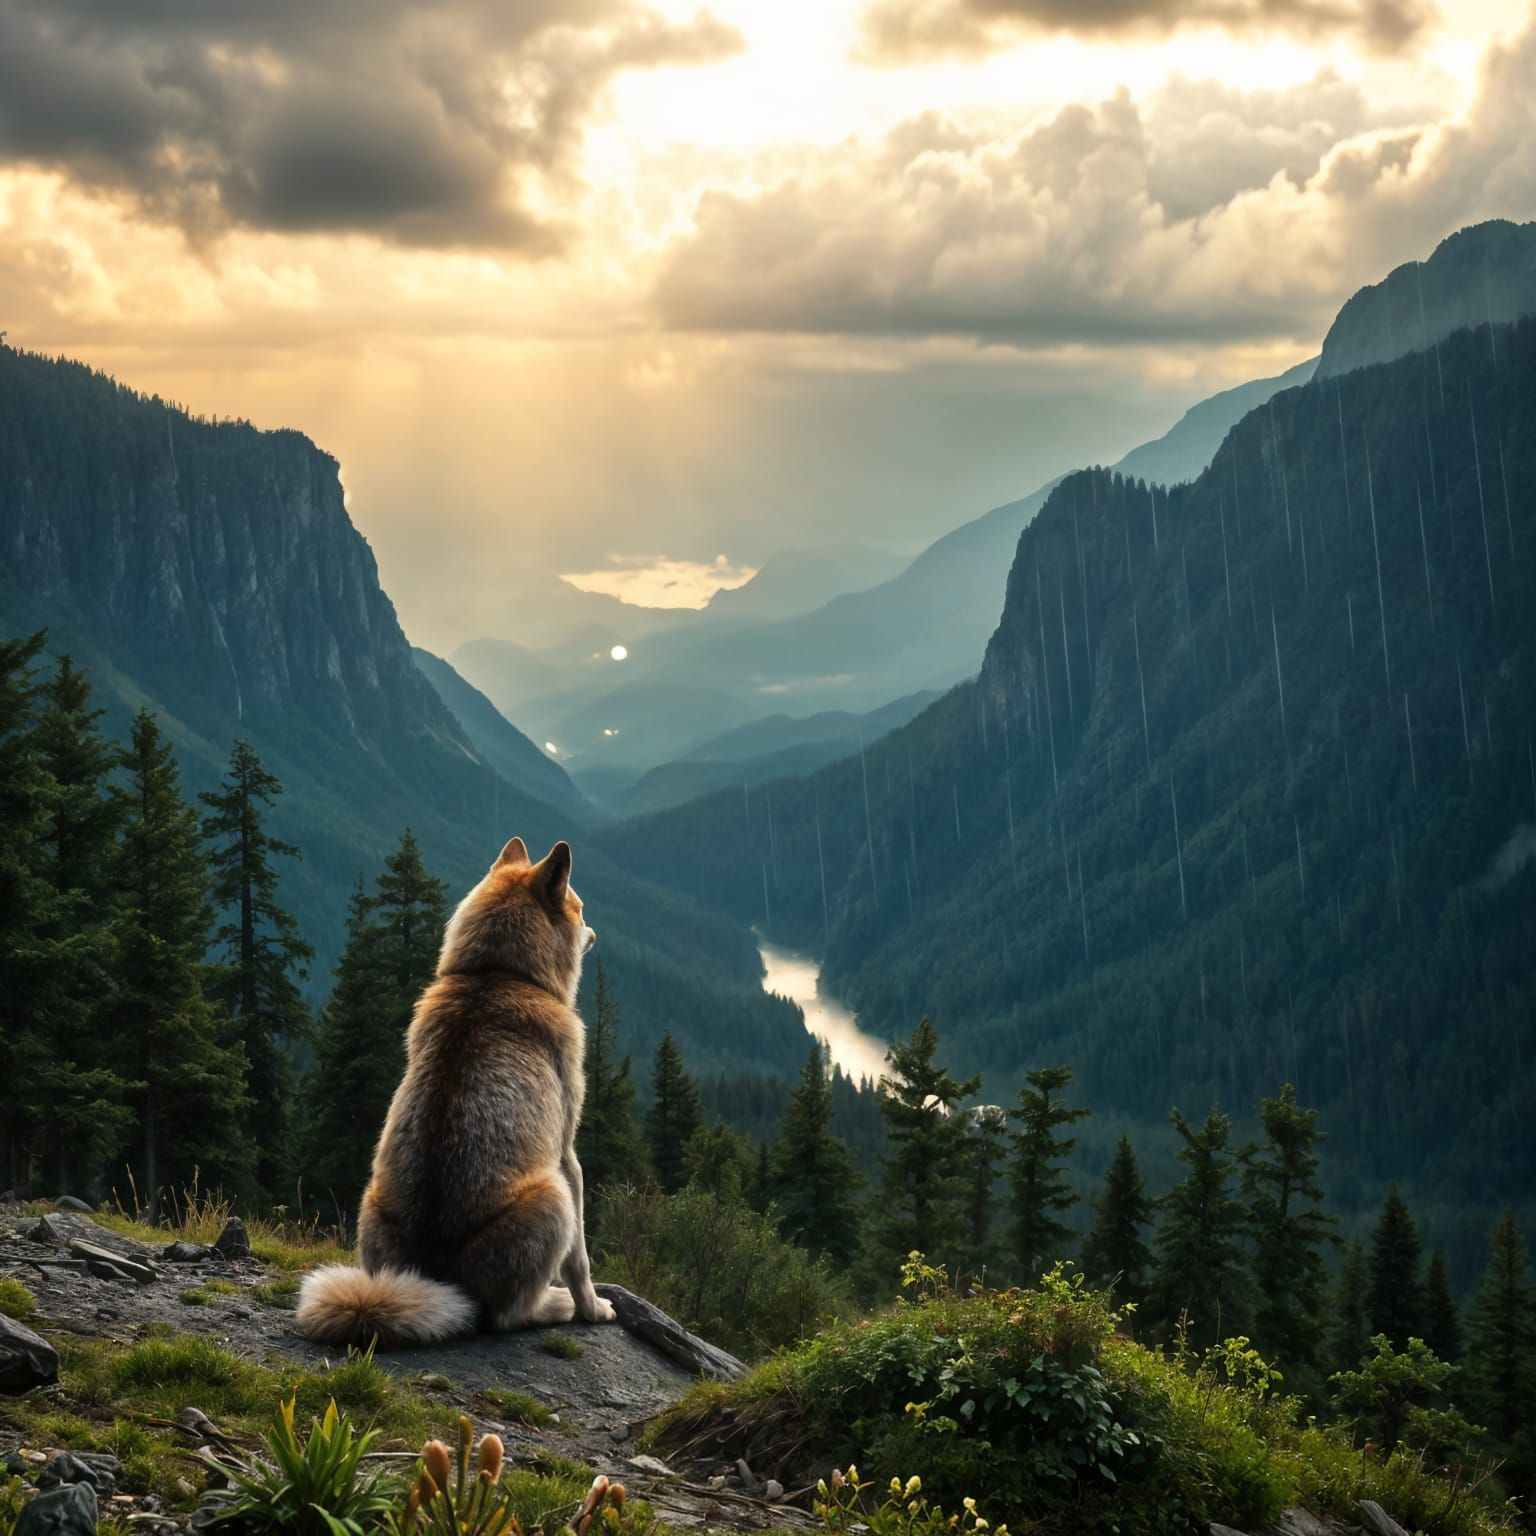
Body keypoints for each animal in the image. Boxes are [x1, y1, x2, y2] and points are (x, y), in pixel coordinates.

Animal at [296, 837, 617, 1346]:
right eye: (579, 907)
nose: (595, 933)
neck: (497, 973)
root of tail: (441, 1278)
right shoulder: (568, 1155)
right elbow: (581, 1260)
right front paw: (595, 1309)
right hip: (554, 1197)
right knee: (507, 1317)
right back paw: (557, 1304)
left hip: (369, 1202)